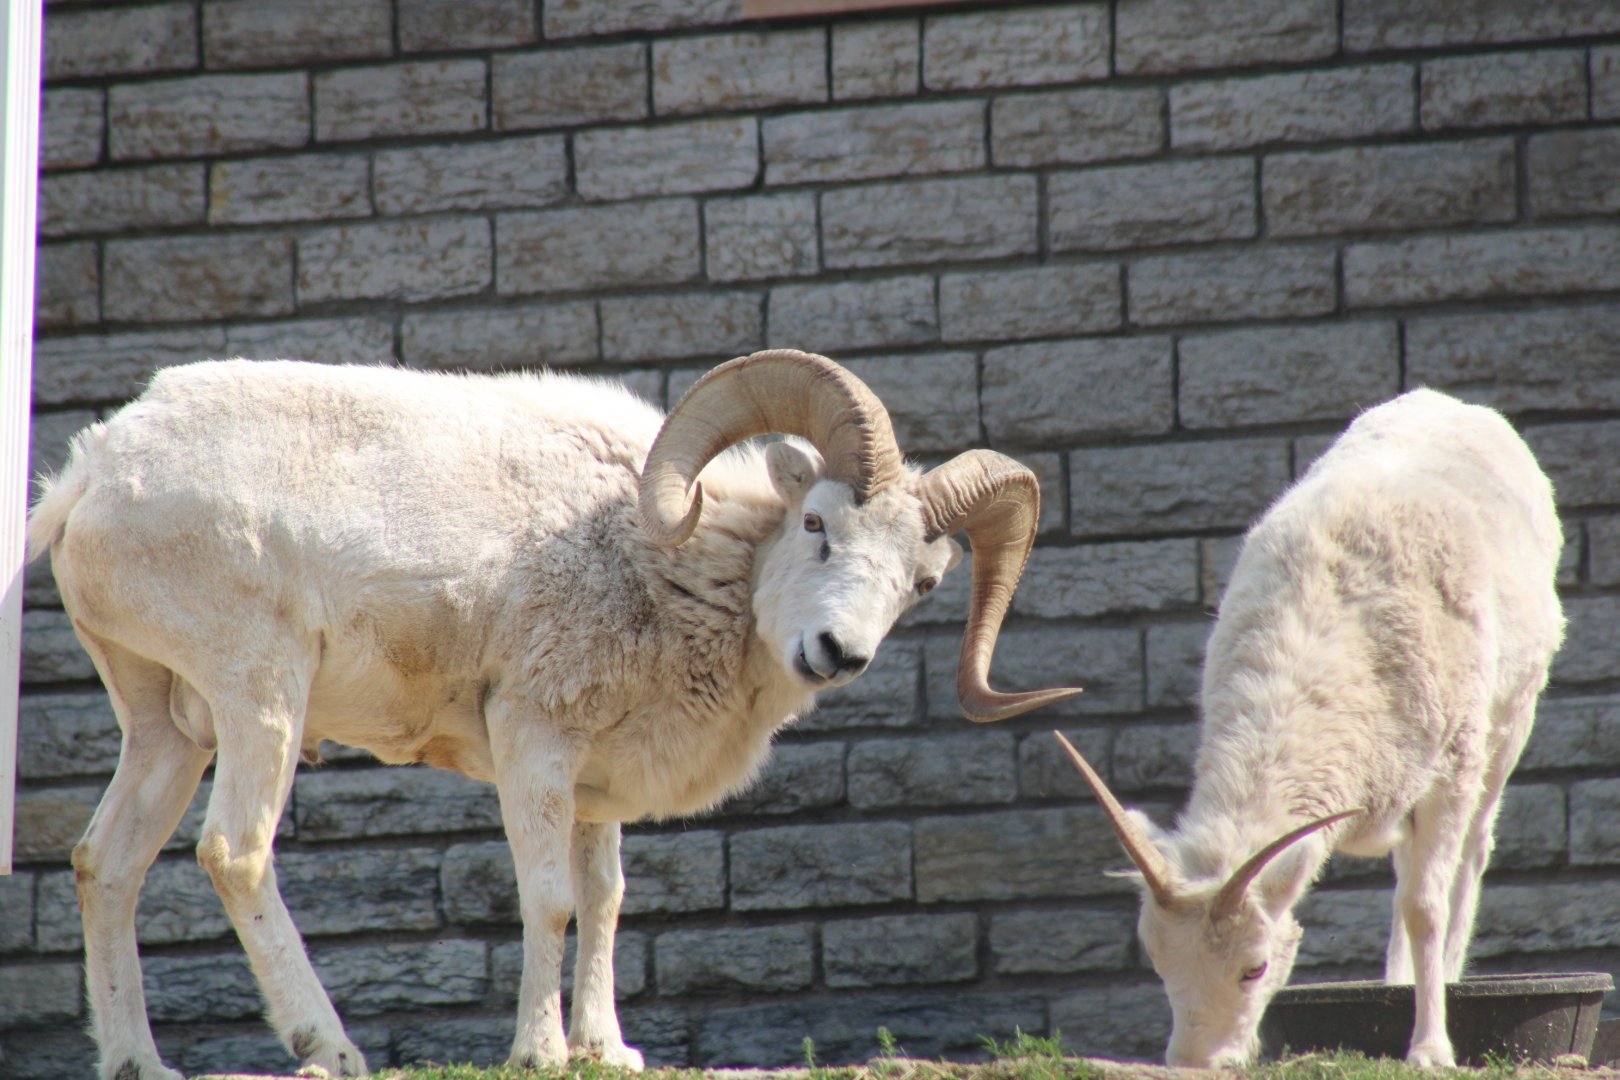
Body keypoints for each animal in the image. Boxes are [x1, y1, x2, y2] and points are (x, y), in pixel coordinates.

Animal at [25, 348, 1080, 1080]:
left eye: (920, 581)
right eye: (818, 521)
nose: (837, 653)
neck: (657, 560)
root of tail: (90, 478)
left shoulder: (594, 783)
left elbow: (606, 900)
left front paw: (607, 1051)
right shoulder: (534, 741)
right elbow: (551, 899)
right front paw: (538, 1052)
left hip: (167, 724)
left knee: (104, 861)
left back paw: (141, 1062)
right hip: (261, 694)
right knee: (235, 852)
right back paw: (332, 1048)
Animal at [1044, 388, 1564, 1068]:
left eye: (1255, 968)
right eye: (1158, 960)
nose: (1195, 1062)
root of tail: (1457, 404)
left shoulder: (1453, 764)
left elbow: (1425, 905)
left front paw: (1429, 1052)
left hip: (1510, 719)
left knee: (1471, 854)